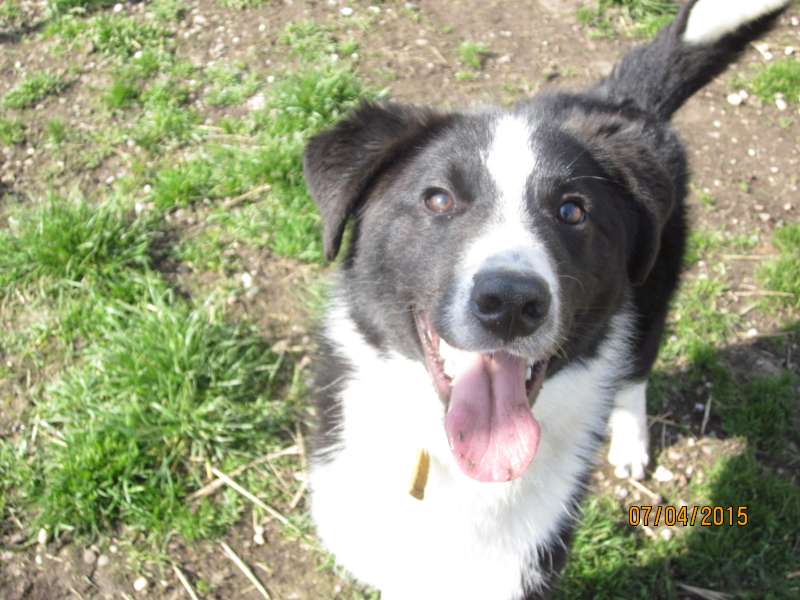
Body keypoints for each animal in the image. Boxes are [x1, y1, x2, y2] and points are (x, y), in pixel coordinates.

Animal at [304, 2, 792, 596]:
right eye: (438, 199)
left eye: (572, 211)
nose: (511, 302)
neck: (456, 458)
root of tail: (623, 102)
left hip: (655, 287)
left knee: (636, 367)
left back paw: (630, 444)